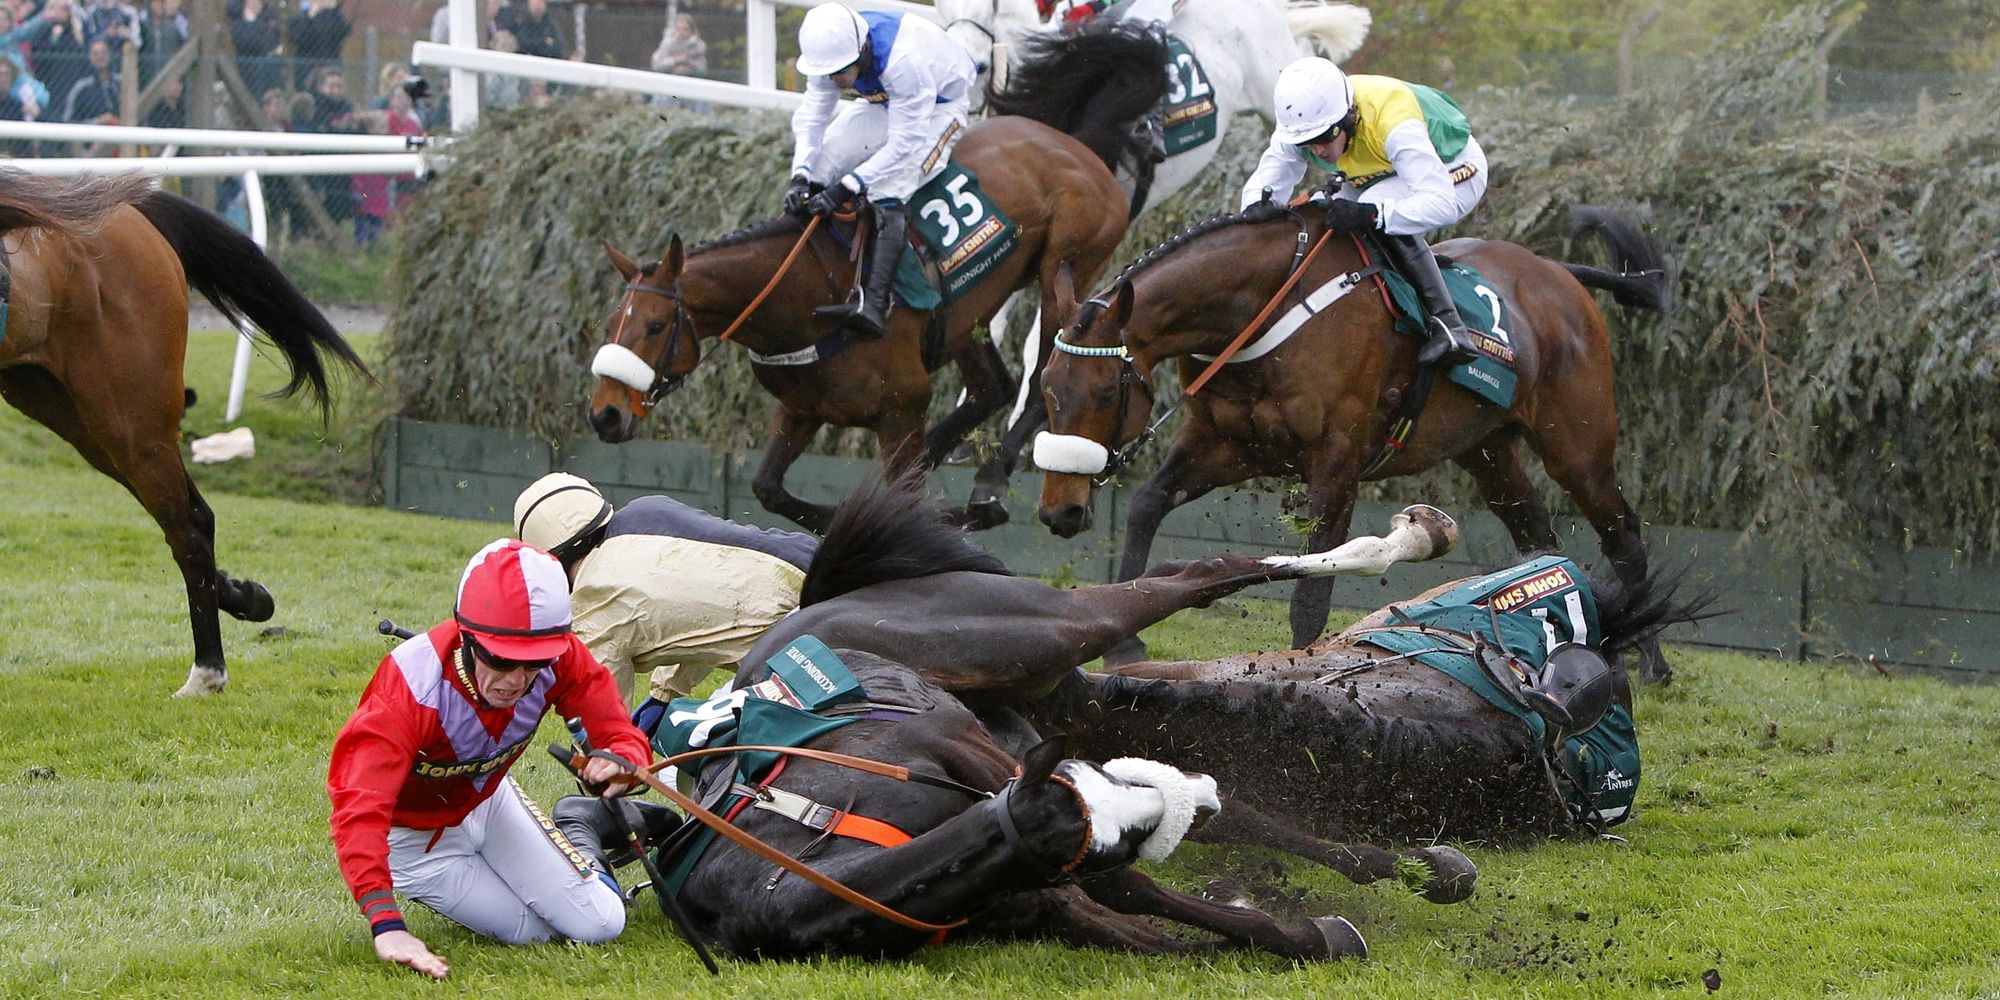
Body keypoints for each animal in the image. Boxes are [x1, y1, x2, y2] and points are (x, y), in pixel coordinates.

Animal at [0, 172, 368, 700]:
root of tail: (131, 212)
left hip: (129, 417)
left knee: (189, 523)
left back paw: (207, 670)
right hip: (70, 409)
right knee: (190, 514)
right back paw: (248, 598)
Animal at [584, 27, 1168, 536]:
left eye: (655, 326)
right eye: (614, 322)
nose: (604, 416)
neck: (805, 294)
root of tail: (1077, 144)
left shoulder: (902, 408)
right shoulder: (800, 408)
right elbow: (768, 486)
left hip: (1065, 267)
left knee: (1043, 373)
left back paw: (989, 481)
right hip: (967, 313)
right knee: (992, 385)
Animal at [1032, 207, 1672, 684]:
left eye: (1105, 391)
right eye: (1047, 387)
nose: (1060, 512)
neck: (1262, 306)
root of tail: (1558, 273)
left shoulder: (1337, 463)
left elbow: (1312, 589)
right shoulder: (1225, 441)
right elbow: (1148, 504)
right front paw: (1125, 643)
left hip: (1577, 448)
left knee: (1621, 530)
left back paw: (1649, 658)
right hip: (1486, 451)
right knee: (1536, 529)